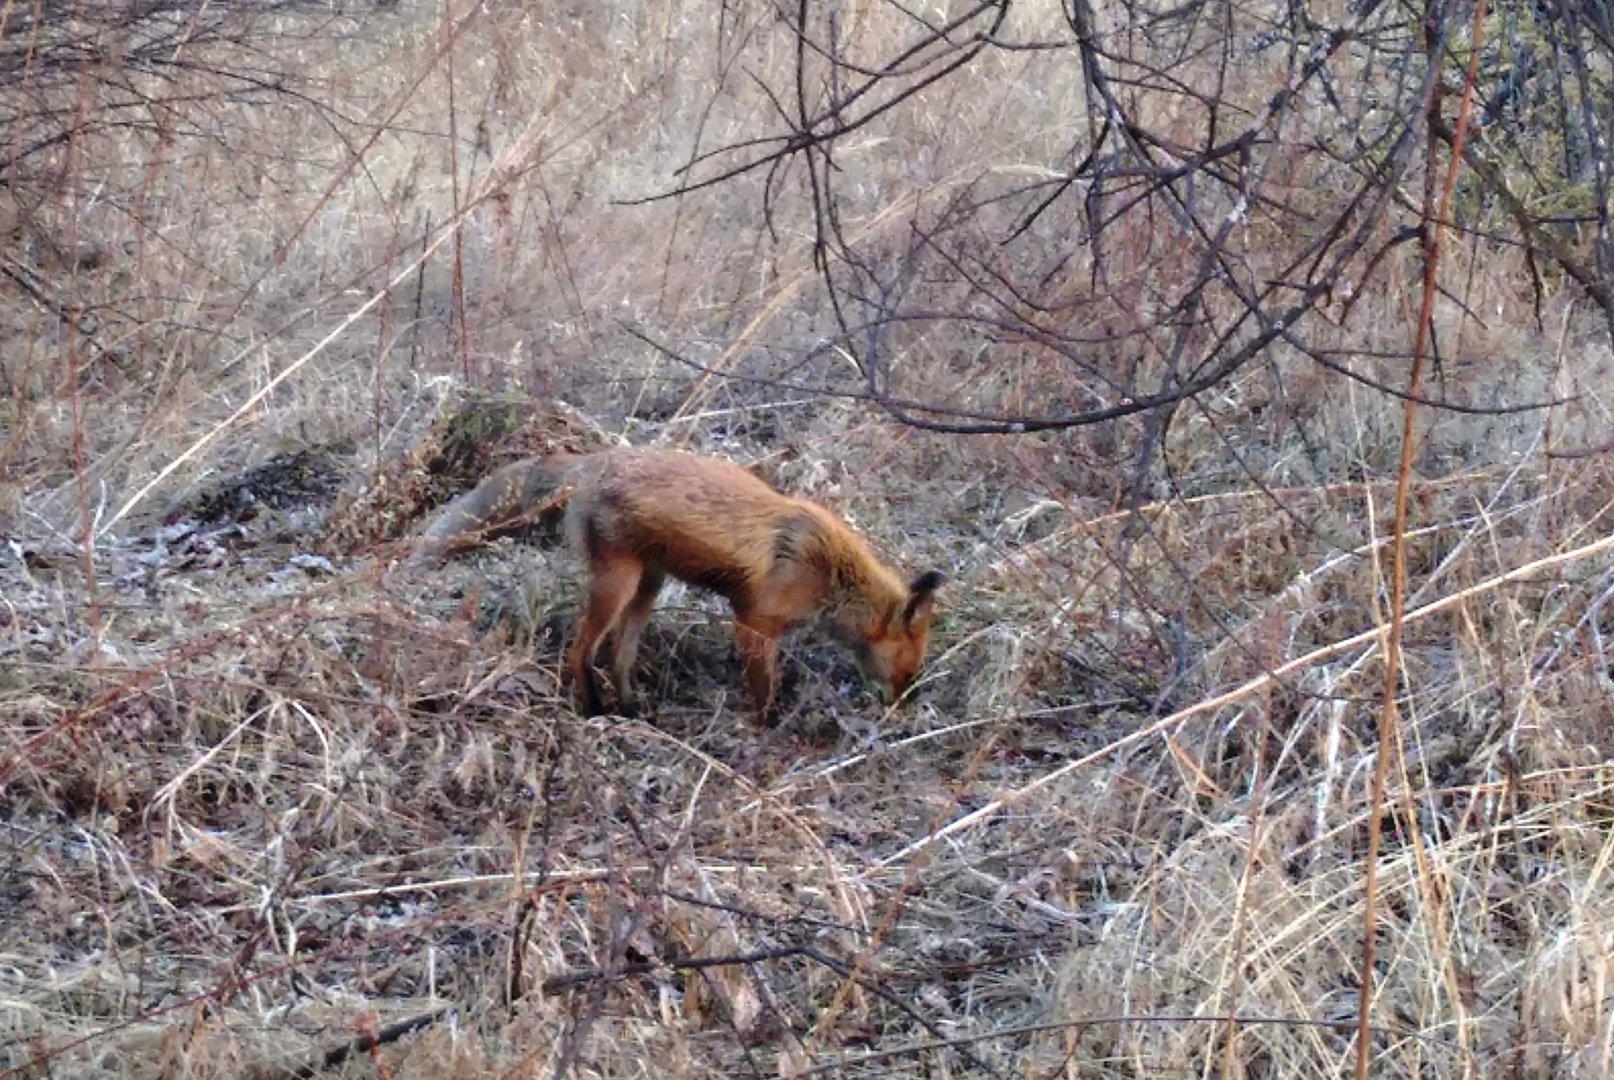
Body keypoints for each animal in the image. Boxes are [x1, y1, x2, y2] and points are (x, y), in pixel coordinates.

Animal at [407, 447, 944, 726]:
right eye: (909, 671)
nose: (903, 710)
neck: (829, 574)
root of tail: (593, 461)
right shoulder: (752, 624)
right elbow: (763, 693)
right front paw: (763, 733)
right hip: (619, 583)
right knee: (581, 652)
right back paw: (594, 711)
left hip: (650, 585)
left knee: (617, 657)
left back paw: (629, 711)